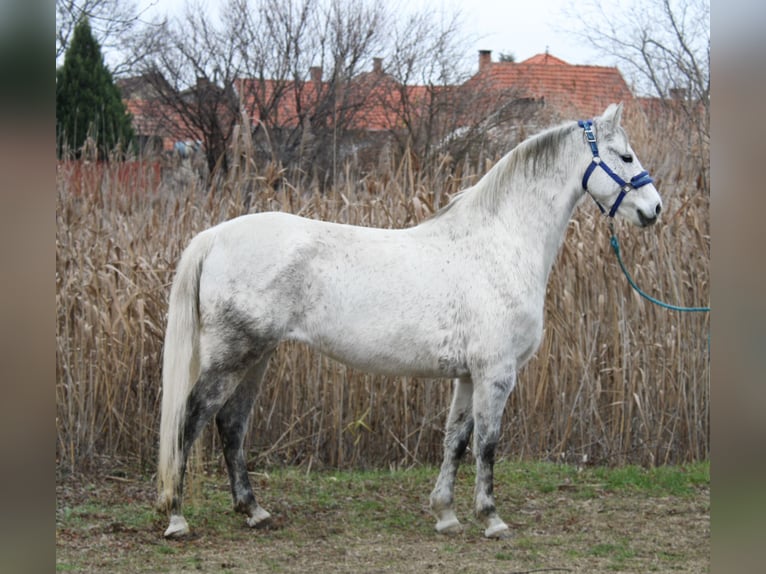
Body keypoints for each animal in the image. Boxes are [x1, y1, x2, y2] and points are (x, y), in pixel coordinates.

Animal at [157, 103, 662, 539]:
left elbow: (456, 439)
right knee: (191, 418)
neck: (501, 243)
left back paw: (254, 510)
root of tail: (214, 236)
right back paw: (177, 516)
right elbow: (487, 443)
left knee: (231, 425)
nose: (654, 209)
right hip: (232, 357)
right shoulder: (496, 372)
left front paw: (446, 514)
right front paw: (492, 518)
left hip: (257, 357)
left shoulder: (467, 375)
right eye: (625, 155)